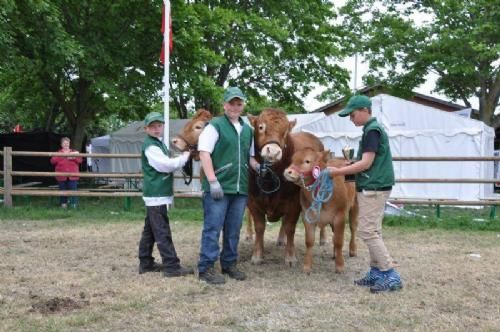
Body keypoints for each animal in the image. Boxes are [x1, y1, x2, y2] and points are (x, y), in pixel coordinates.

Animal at [247, 108, 324, 264]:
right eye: (261, 127)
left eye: (286, 132)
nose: (273, 151)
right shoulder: (253, 200)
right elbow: (259, 227)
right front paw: (257, 254)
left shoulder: (294, 202)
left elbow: (290, 227)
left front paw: (290, 256)